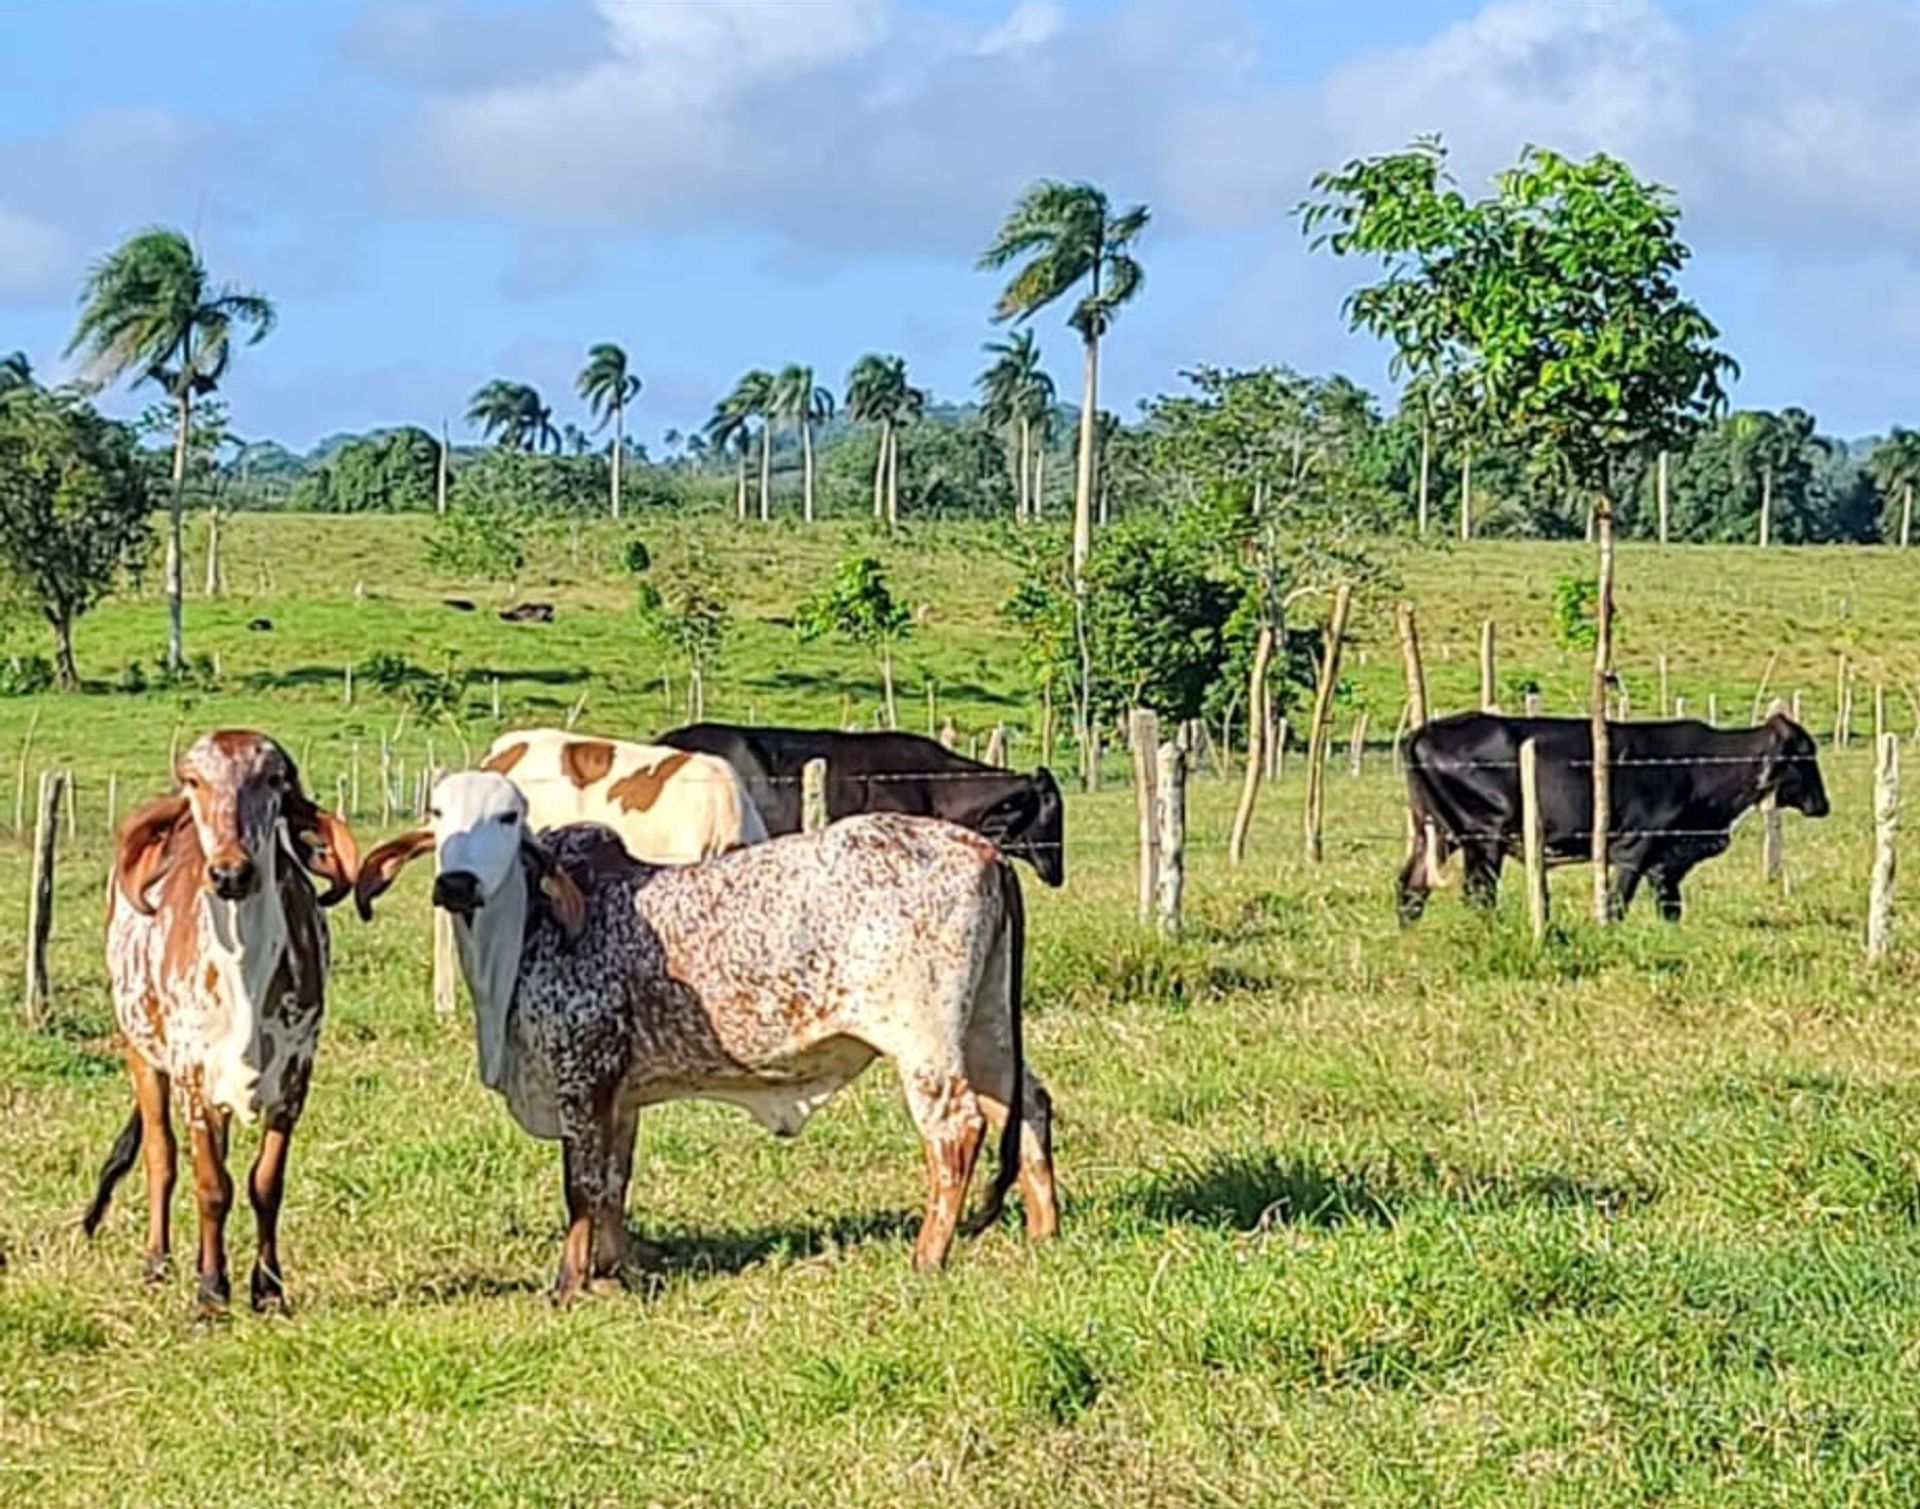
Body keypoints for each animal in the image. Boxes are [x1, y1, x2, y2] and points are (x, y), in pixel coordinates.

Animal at [83, 733, 360, 1313]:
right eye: (194, 781)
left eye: (274, 780)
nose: (231, 872)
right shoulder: (192, 1074)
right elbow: (211, 1186)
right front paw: (211, 1290)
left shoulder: (297, 1075)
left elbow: (264, 1183)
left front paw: (267, 1286)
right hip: (142, 1053)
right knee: (163, 1156)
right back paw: (159, 1261)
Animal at [353, 771, 1059, 1297]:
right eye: (438, 813)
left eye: (507, 817)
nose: (457, 883)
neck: (530, 931)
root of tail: (985, 850)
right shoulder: (620, 1095)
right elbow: (613, 1182)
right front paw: (617, 1270)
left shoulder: (582, 1075)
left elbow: (581, 1186)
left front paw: (569, 1285)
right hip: (987, 1026)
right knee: (1028, 1104)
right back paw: (1044, 1232)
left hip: (924, 1041)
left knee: (957, 1130)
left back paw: (927, 1257)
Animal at [1397, 706, 1827, 917]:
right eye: (1805, 753)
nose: (1823, 804)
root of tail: (1422, 731)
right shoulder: (1636, 847)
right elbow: (1617, 903)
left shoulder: (1665, 863)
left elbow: (1671, 909)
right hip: (1484, 836)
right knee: (1479, 894)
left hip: (1435, 835)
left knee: (1411, 886)